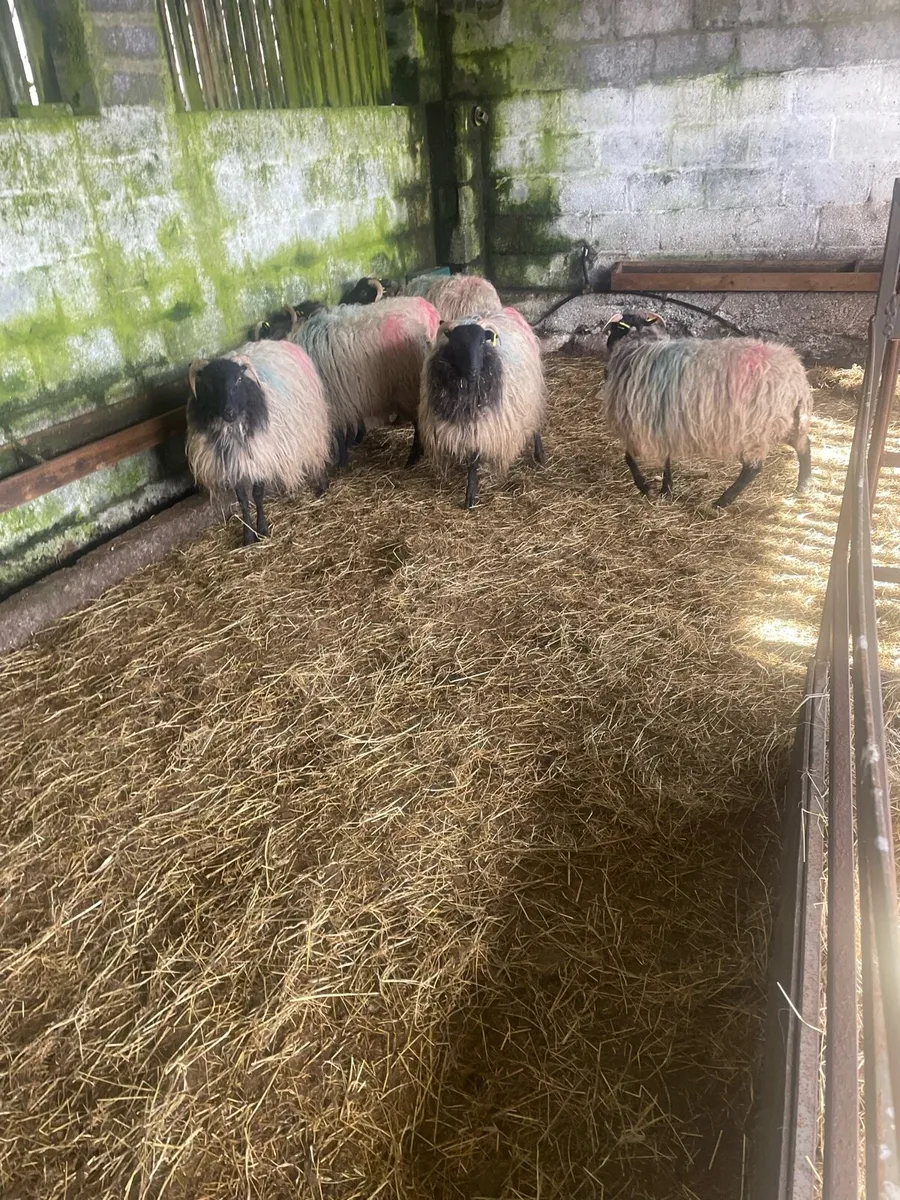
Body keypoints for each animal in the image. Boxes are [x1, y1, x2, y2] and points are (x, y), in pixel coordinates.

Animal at [186, 339, 331, 545]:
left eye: (238, 380)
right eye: (208, 384)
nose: (229, 411)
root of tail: (283, 342)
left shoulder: (263, 453)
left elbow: (257, 494)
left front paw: (262, 529)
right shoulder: (234, 463)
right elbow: (242, 500)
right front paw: (248, 535)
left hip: (310, 424)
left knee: (317, 450)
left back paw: (322, 484)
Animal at [290, 296, 440, 469]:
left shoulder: (335, 402)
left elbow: (339, 434)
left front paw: (342, 462)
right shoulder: (348, 395)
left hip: (408, 389)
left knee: (419, 425)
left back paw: (412, 459)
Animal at [420, 307, 545, 509]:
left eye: (481, 343)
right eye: (456, 345)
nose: (473, 371)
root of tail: (507, 311)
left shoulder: (483, 425)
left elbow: (473, 460)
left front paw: (470, 496)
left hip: (530, 395)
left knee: (534, 424)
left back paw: (539, 454)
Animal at [602, 310, 813, 508]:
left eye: (614, 329)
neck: (640, 343)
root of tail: (797, 379)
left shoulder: (637, 421)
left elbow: (629, 458)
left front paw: (645, 487)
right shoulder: (664, 421)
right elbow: (665, 458)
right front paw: (666, 488)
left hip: (753, 428)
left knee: (753, 468)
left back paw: (723, 501)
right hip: (786, 419)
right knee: (804, 444)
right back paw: (803, 484)